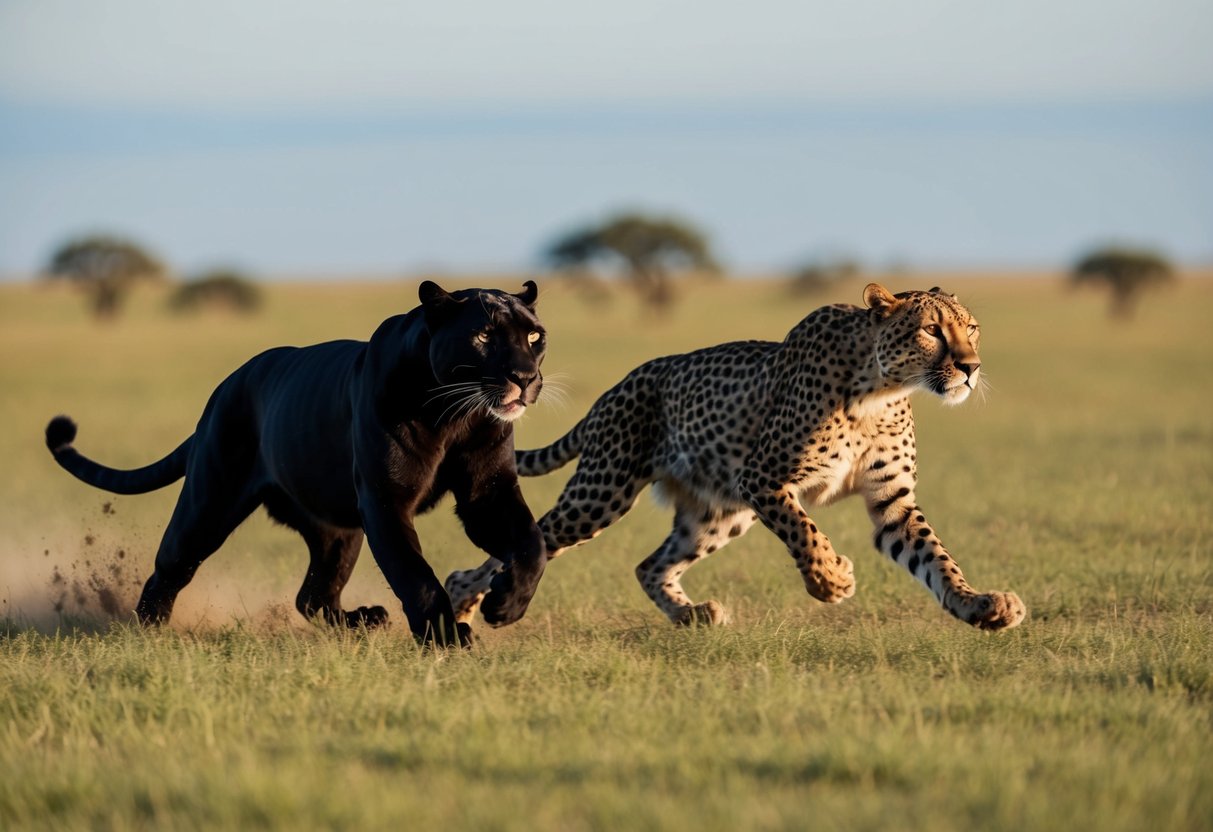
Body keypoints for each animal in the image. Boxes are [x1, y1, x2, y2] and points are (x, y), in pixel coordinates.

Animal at [46, 281, 549, 647]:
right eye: (483, 335)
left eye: (534, 337)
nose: (525, 377)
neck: (454, 415)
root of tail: (225, 387)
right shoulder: (386, 502)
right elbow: (415, 574)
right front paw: (447, 637)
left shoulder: (488, 493)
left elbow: (531, 543)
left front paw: (505, 605)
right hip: (207, 506)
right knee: (171, 567)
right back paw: (147, 630)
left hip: (337, 533)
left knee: (312, 595)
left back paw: (365, 619)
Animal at [445, 283, 1026, 631]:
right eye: (931, 330)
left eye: (971, 328)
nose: (971, 367)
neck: (881, 387)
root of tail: (620, 384)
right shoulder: (762, 478)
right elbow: (805, 530)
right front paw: (831, 579)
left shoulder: (892, 504)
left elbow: (936, 558)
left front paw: (979, 604)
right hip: (600, 495)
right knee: (527, 544)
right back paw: (462, 601)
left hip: (717, 512)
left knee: (648, 565)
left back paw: (693, 615)